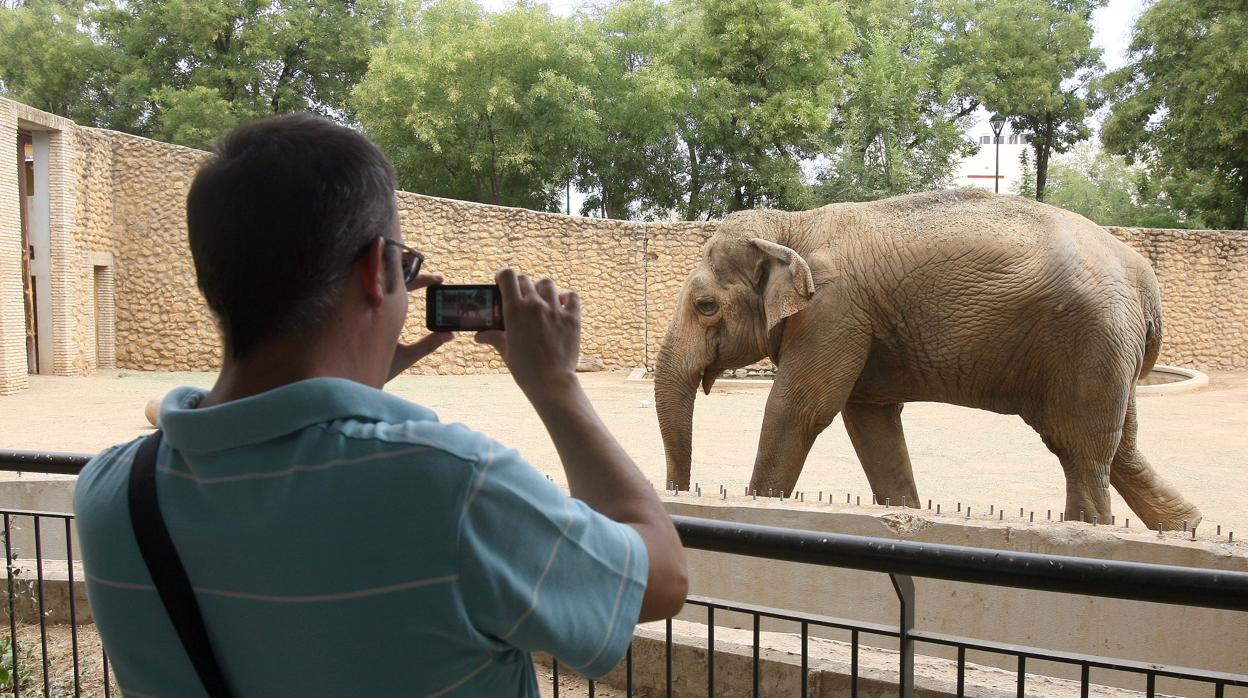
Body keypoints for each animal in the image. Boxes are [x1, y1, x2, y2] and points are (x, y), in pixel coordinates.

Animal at [658, 187, 1203, 529]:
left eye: (705, 306)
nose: (679, 493)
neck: (791, 227)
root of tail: (1146, 281)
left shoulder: (834, 311)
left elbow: (799, 409)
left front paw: (758, 505)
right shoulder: (854, 323)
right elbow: (870, 420)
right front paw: (903, 512)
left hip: (1090, 343)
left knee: (1081, 448)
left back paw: (1091, 528)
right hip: (1109, 351)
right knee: (1120, 447)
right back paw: (1186, 526)